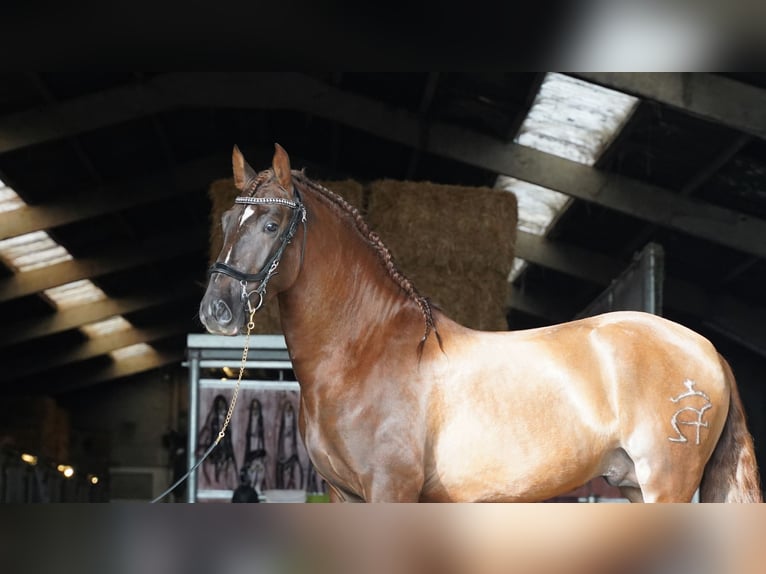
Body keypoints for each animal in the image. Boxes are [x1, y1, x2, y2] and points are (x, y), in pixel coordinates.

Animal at [201, 145, 764, 504]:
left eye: (271, 224)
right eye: (226, 222)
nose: (216, 311)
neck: (365, 351)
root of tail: (706, 349)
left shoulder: (390, 490)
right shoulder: (345, 497)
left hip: (665, 486)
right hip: (632, 486)